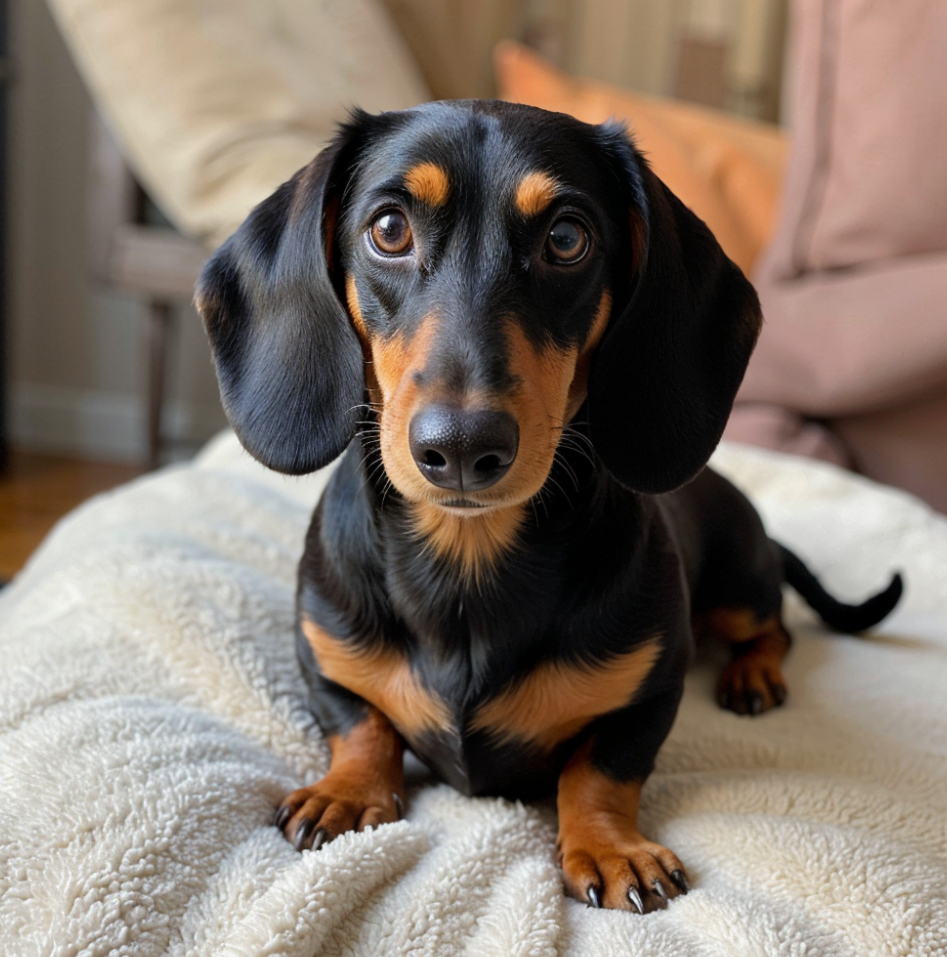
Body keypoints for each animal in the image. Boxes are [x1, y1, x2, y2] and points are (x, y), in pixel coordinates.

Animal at [196, 101, 900, 916]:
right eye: (389, 229)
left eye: (566, 238)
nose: (461, 446)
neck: (468, 556)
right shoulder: (324, 655)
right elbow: (360, 721)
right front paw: (345, 791)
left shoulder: (649, 691)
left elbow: (601, 766)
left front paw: (612, 847)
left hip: (740, 584)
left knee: (774, 628)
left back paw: (752, 676)